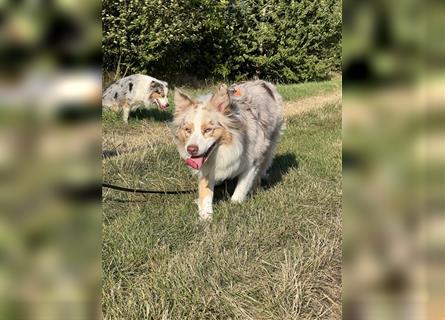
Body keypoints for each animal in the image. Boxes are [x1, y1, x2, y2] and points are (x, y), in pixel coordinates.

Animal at [172, 80, 282, 220]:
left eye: (208, 130)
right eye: (187, 130)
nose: (191, 149)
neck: (223, 149)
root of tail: (263, 82)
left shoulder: (252, 160)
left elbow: (242, 186)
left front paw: (235, 204)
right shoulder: (206, 167)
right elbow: (205, 191)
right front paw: (205, 216)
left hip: (269, 143)